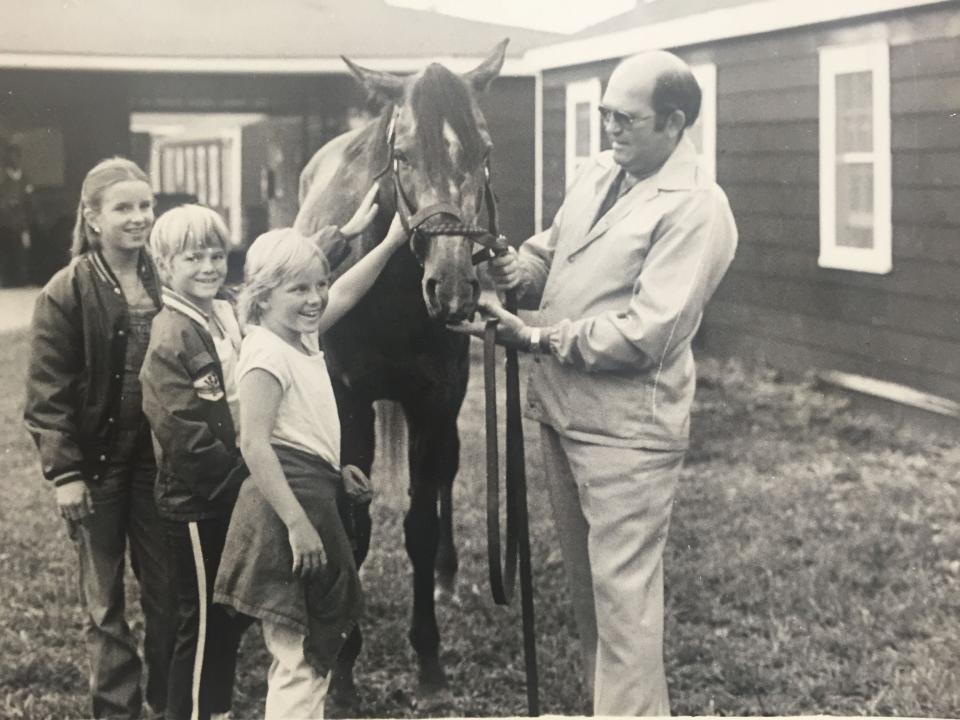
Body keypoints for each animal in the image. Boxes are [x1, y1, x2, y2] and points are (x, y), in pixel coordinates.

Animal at [294, 42, 510, 700]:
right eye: (402, 155)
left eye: (483, 151)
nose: (453, 287)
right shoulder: (348, 403)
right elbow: (354, 525)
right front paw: (342, 667)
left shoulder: (437, 401)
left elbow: (419, 523)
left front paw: (429, 657)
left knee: (442, 483)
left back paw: (447, 575)